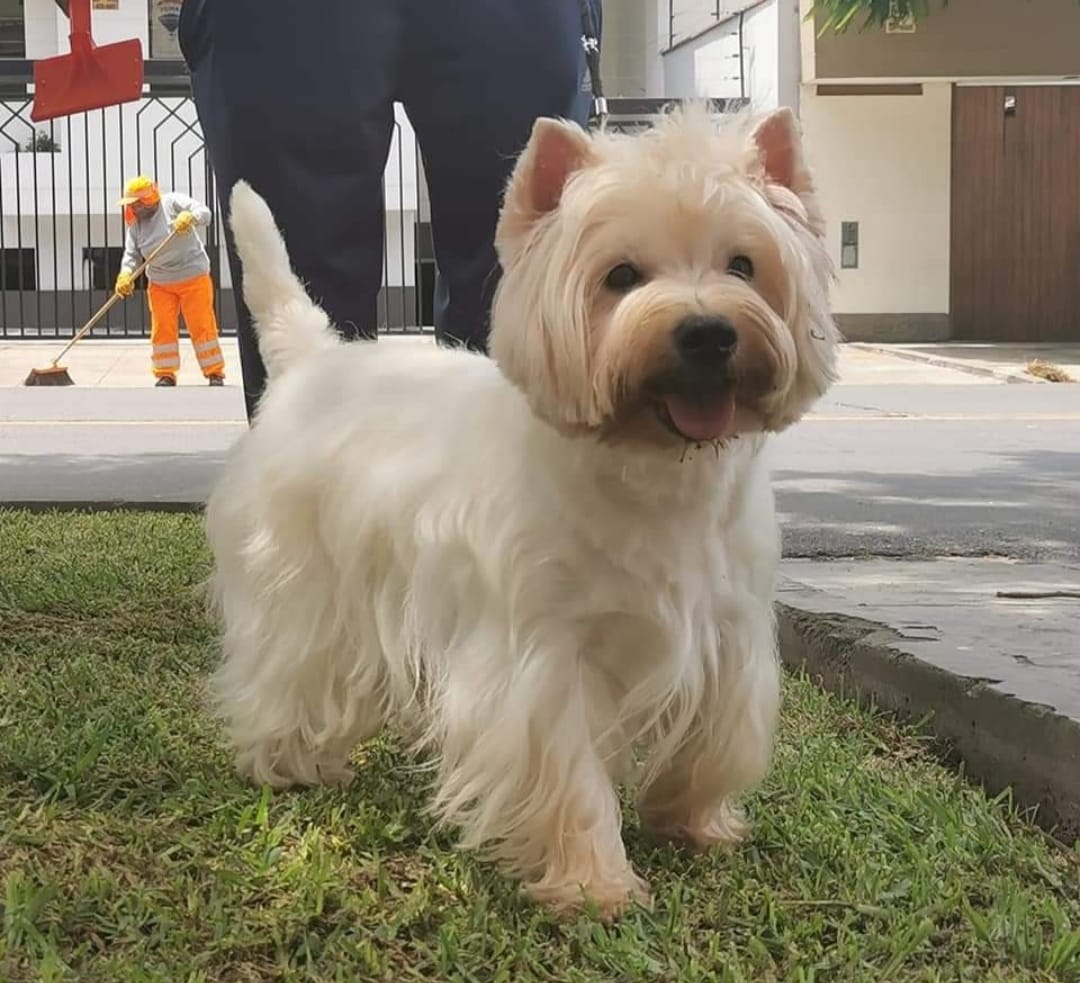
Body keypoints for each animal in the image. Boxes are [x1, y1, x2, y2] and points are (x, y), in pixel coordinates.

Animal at [206, 103, 838, 920]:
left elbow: (715, 738)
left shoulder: (727, 631)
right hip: (302, 578)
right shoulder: (543, 651)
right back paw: (290, 760)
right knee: (290, 663)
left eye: (742, 265)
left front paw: (694, 821)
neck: (656, 472)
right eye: (620, 275)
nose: (707, 331)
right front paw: (595, 884)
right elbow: (568, 770)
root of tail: (314, 358)